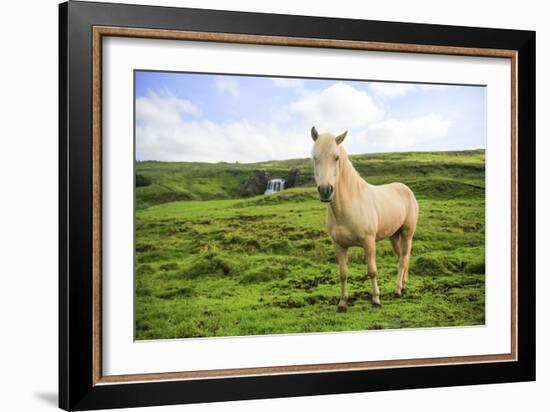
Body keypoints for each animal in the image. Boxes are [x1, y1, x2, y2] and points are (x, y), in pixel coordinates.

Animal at [312, 127, 420, 310]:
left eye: (336, 157)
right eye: (314, 157)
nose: (326, 191)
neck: (349, 204)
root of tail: (407, 190)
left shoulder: (368, 243)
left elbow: (372, 270)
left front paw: (376, 299)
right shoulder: (339, 245)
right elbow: (343, 273)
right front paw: (342, 303)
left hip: (407, 233)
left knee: (403, 258)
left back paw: (398, 290)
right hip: (394, 236)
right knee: (403, 257)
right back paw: (404, 284)